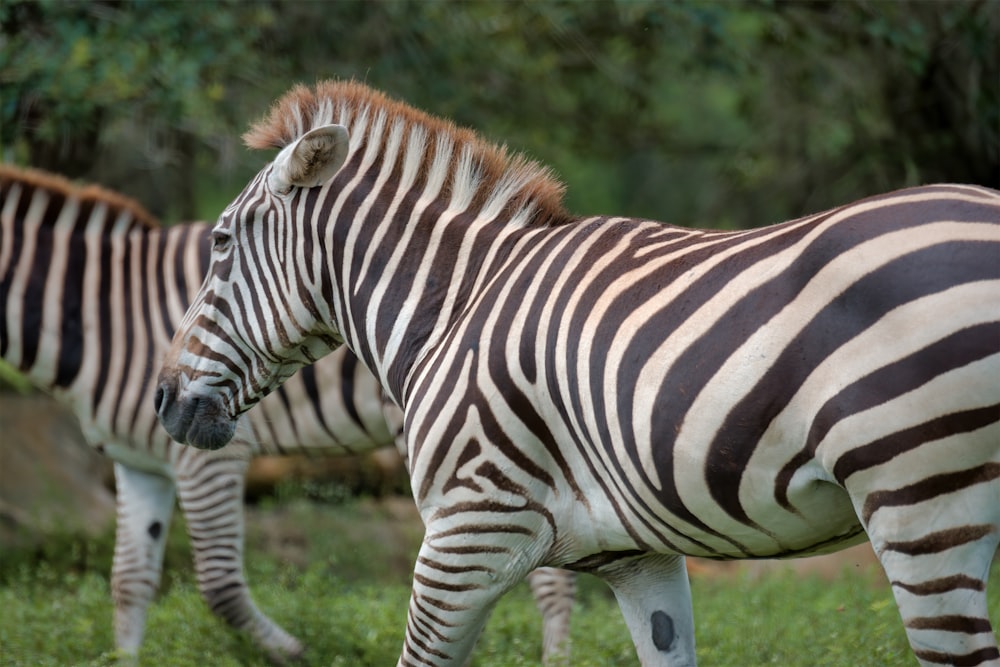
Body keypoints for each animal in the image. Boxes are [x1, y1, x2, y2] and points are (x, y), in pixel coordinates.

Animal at [0, 163, 576, 667]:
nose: (161, 399)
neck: (105, 313)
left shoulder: (208, 458)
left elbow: (219, 585)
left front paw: (296, 651)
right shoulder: (138, 462)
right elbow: (129, 583)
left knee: (549, 574)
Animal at [156, 79, 1000, 667]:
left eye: (221, 243)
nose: (163, 399)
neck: (457, 305)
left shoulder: (467, 528)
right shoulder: (639, 556)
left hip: (920, 498)